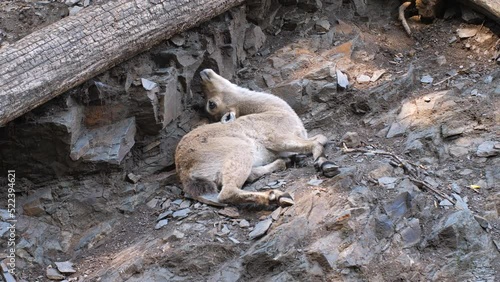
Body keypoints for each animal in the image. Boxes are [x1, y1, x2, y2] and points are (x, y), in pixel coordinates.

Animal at [174, 70, 338, 207]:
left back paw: (284, 162)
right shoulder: (276, 138)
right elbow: (316, 142)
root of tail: (185, 171)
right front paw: (325, 164)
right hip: (240, 150)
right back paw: (277, 196)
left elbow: (321, 137)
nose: (203, 73)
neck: (273, 110)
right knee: (227, 192)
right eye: (211, 104)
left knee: (250, 175)